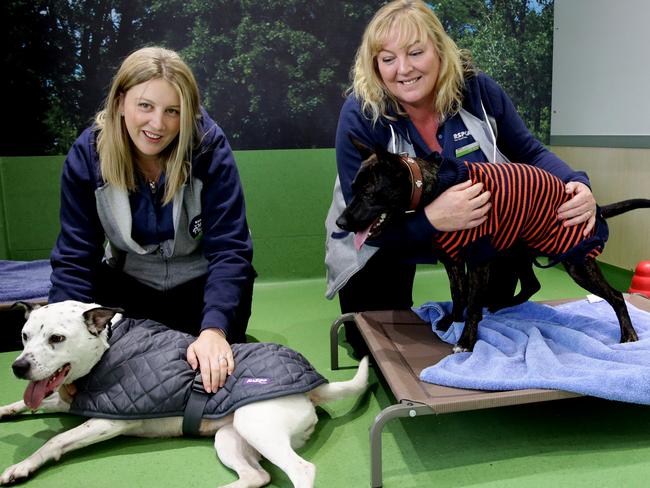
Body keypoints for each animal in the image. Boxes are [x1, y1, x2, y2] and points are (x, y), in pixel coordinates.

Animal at [0, 302, 368, 488]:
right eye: (24, 335)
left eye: (57, 339)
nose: (18, 367)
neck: (108, 340)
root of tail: (315, 388)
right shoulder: (66, 398)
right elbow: (33, 403)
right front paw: (7, 409)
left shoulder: (106, 421)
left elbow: (55, 441)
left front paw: (21, 466)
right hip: (230, 438)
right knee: (258, 476)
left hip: (256, 426)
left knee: (301, 470)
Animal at [336, 137, 644, 350]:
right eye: (352, 189)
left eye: (368, 193)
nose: (340, 222)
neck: (433, 187)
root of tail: (593, 207)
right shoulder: (453, 260)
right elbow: (458, 294)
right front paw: (451, 320)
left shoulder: (478, 259)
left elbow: (472, 301)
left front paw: (466, 339)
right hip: (517, 252)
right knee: (531, 285)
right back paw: (499, 304)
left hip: (576, 262)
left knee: (616, 296)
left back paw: (628, 335)